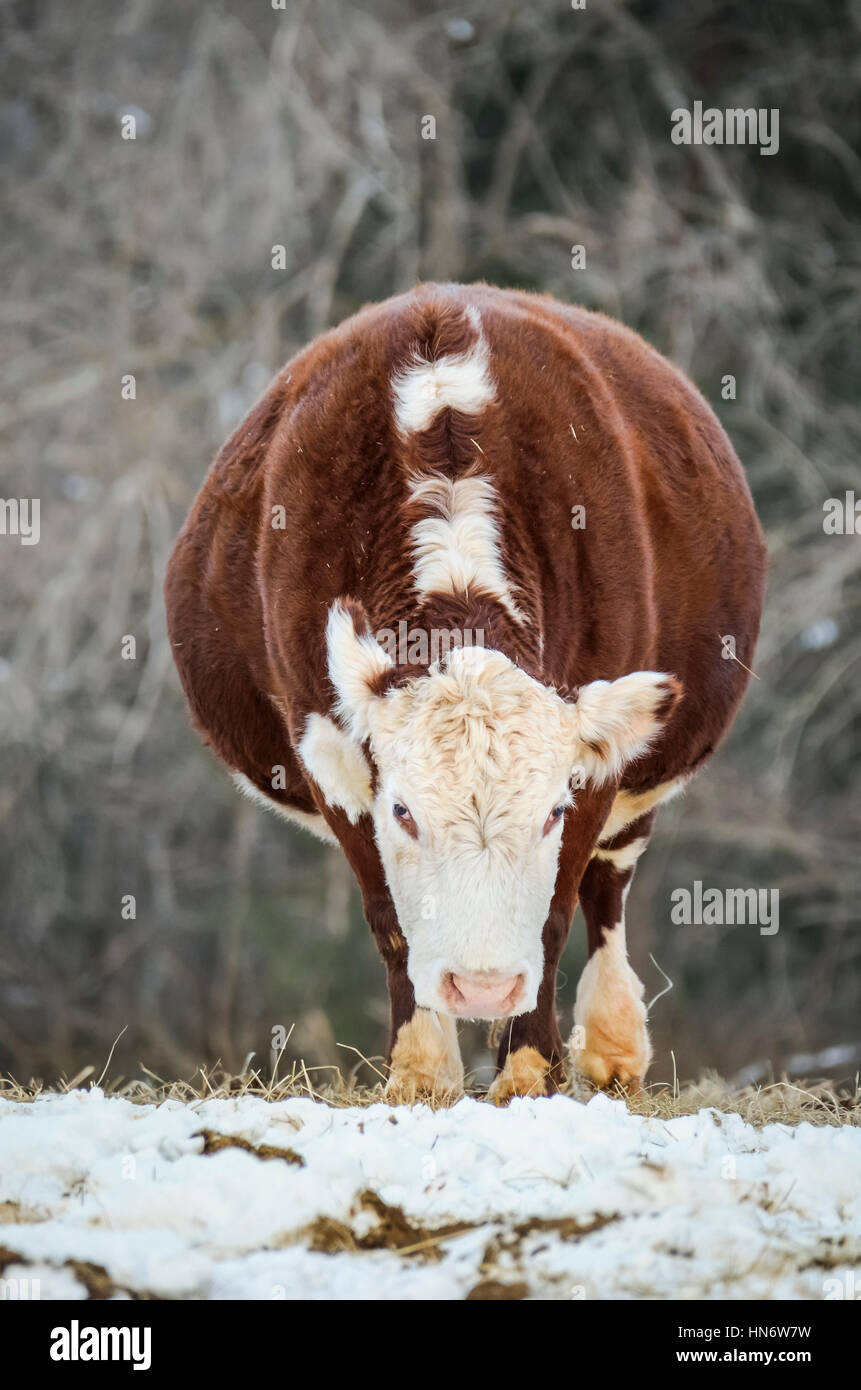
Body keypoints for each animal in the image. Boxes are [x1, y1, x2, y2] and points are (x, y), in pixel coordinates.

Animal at [163, 284, 767, 1106]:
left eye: (550, 812)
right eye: (404, 813)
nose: (481, 987)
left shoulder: (595, 764)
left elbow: (552, 915)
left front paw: (528, 1072)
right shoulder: (329, 756)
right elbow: (391, 920)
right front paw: (421, 1073)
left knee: (607, 890)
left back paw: (613, 1049)